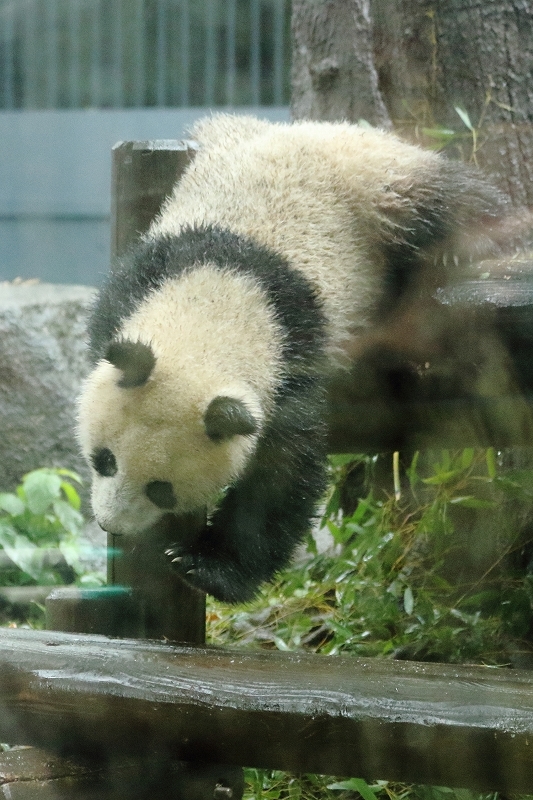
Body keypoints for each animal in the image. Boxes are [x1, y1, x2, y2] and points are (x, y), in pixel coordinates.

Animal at [77, 112, 504, 600]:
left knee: (453, 200)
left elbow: (282, 475)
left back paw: (468, 243)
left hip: (382, 185)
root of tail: (308, 124)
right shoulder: (140, 282)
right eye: (104, 460)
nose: (111, 524)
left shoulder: (293, 360)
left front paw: (204, 567)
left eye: (161, 490)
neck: (228, 293)